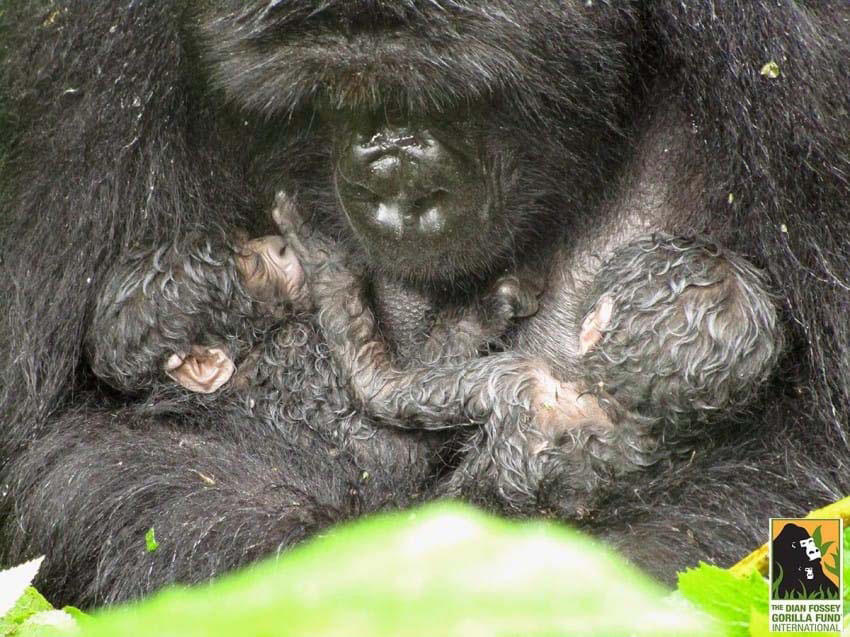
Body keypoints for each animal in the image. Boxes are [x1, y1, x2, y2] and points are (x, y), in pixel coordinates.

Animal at [1, 0, 848, 608]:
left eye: (452, 90)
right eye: (315, 99)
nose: (397, 190)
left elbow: (806, 462)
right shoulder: (63, 33)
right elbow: (52, 451)